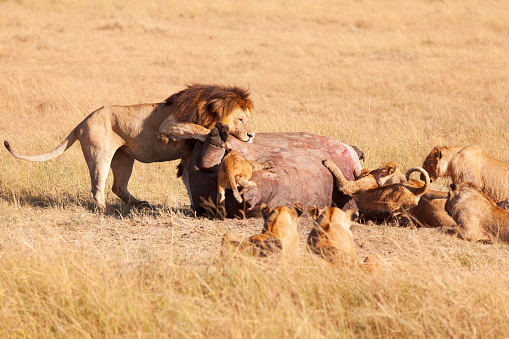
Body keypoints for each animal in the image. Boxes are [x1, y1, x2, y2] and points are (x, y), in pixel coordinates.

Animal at [4, 84, 254, 214]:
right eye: (241, 119)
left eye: (248, 119)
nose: (251, 135)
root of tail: (83, 120)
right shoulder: (169, 125)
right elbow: (198, 128)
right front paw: (220, 137)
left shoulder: (184, 156)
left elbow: (188, 181)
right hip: (100, 155)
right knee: (97, 187)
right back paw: (106, 210)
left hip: (124, 158)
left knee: (118, 186)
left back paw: (140, 204)